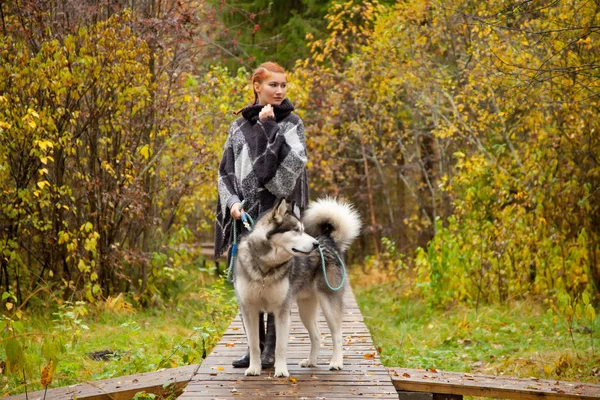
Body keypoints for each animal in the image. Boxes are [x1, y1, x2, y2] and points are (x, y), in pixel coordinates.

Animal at [233, 197, 360, 378]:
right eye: (296, 230)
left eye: (304, 230)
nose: (315, 244)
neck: (266, 268)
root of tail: (328, 240)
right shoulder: (249, 310)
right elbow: (254, 344)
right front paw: (254, 368)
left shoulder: (282, 310)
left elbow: (280, 346)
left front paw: (281, 370)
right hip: (305, 311)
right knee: (317, 336)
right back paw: (311, 361)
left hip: (329, 303)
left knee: (337, 335)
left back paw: (336, 362)